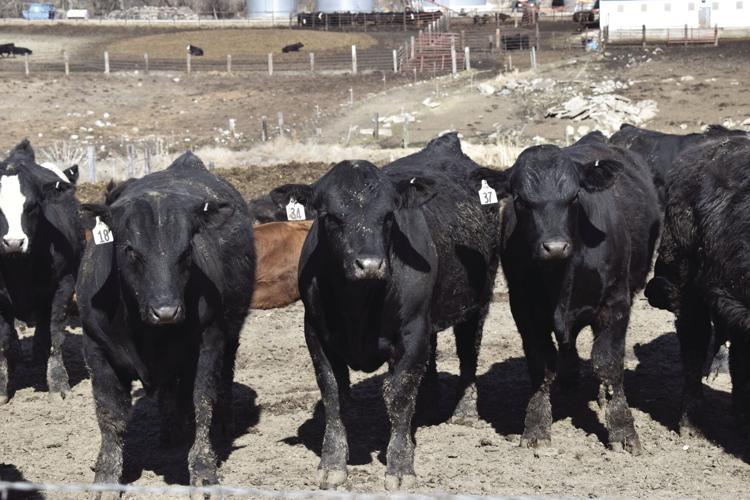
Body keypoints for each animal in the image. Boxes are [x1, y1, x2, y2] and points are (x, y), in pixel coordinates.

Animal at [0, 139, 82, 404]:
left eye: (32, 206)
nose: (13, 242)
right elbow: (3, 340)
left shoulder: (64, 285)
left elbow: (54, 334)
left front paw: (58, 384)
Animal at [75, 151, 255, 489]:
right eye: (130, 250)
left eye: (185, 252)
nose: (167, 311)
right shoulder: (96, 349)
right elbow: (109, 415)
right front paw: (106, 477)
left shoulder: (208, 341)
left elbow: (202, 401)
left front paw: (203, 469)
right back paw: (171, 432)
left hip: (231, 330)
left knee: (222, 377)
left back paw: (223, 423)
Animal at [270, 133, 502, 490]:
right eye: (330, 216)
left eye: (389, 216)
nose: (369, 265)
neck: (358, 305)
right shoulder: (316, 333)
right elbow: (333, 394)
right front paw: (332, 464)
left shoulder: (411, 331)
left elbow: (399, 395)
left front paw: (400, 466)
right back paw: (428, 408)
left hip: (478, 299)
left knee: (468, 354)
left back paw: (464, 413)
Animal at [474, 133, 661, 454]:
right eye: (521, 200)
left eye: (574, 197)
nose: (555, 247)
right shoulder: (523, 307)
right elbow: (540, 363)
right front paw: (536, 428)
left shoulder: (616, 302)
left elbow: (608, 363)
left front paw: (623, 431)